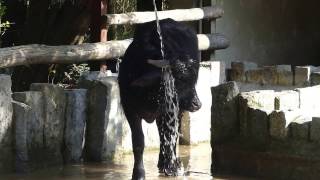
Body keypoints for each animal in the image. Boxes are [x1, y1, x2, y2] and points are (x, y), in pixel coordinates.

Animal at [119, 18, 201, 180]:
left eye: (194, 79)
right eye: (179, 79)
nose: (197, 104)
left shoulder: (170, 111)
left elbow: (170, 136)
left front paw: (171, 167)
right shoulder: (129, 108)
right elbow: (138, 142)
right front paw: (138, 173)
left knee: (171, 136)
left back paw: (167, 163)